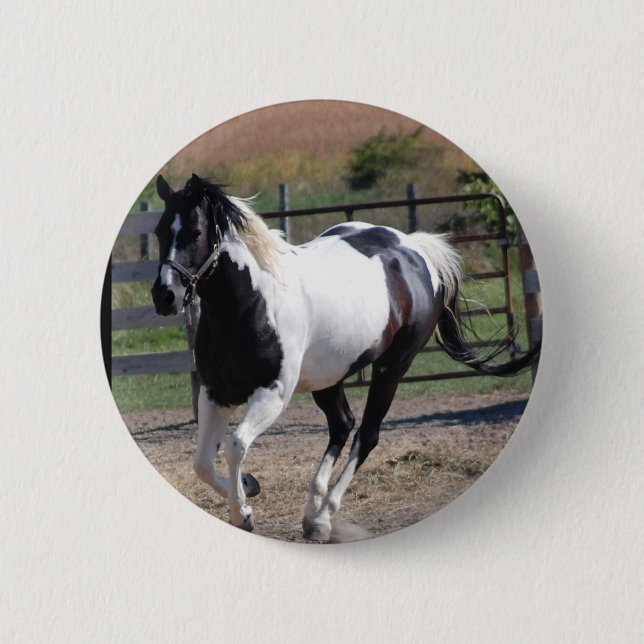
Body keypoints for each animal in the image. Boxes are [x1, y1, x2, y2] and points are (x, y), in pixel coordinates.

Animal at [151, 173, 540, 541]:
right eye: (158, 232)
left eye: (196, 232)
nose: (164, 296)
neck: (251, 303)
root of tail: (413, 248)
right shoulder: (215, 391)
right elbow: (201, 462)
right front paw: (249, 487)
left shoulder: (273, 393)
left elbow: (235, 446)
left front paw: (242, 514)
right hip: (329, 376)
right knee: (342, 424)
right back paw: (311, 513)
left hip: (391, 368)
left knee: (366, 435)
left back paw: (324, 518)